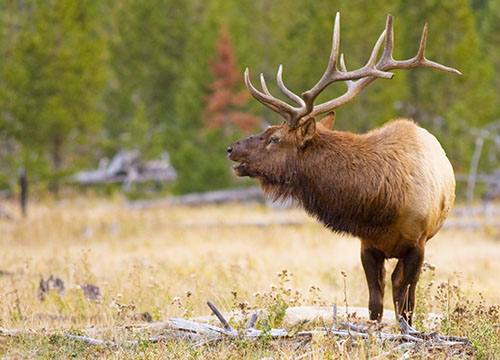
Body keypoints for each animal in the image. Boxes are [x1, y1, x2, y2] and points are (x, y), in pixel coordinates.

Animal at [228, 13, 460, 324]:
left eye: (274, 137)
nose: (231, 148)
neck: (381, 207)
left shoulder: (417, 243)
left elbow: (404, 303)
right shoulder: (367, 245)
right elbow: (375, 304)